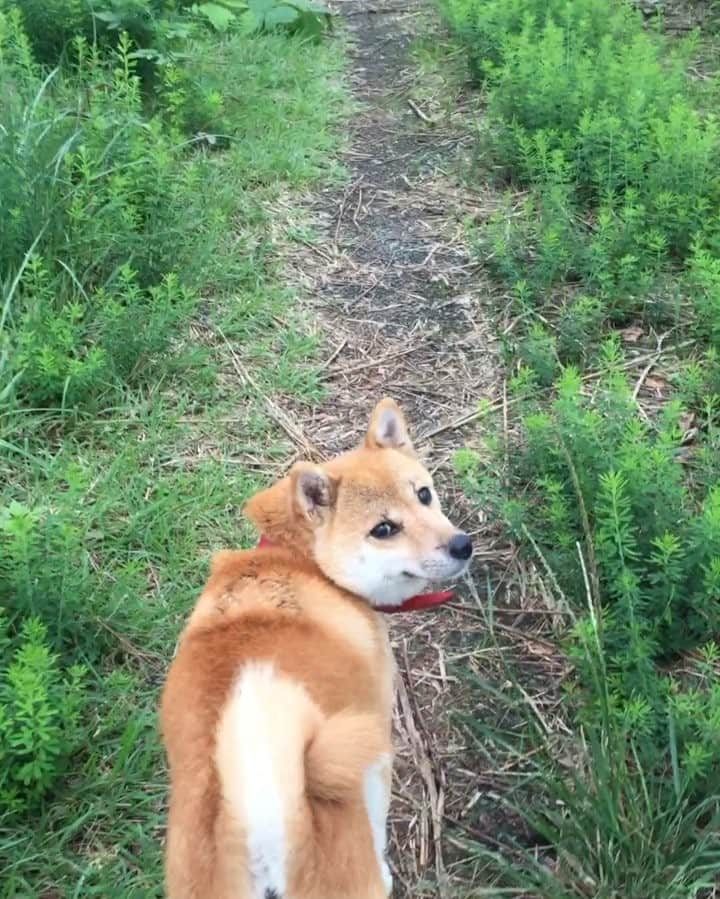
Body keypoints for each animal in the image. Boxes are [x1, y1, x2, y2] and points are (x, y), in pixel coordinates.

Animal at [160, 400, 472, 899]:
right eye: (384, 529)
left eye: (424, 494)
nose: (462, 545)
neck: (299, 561)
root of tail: (258, 821)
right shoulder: (375, 751)